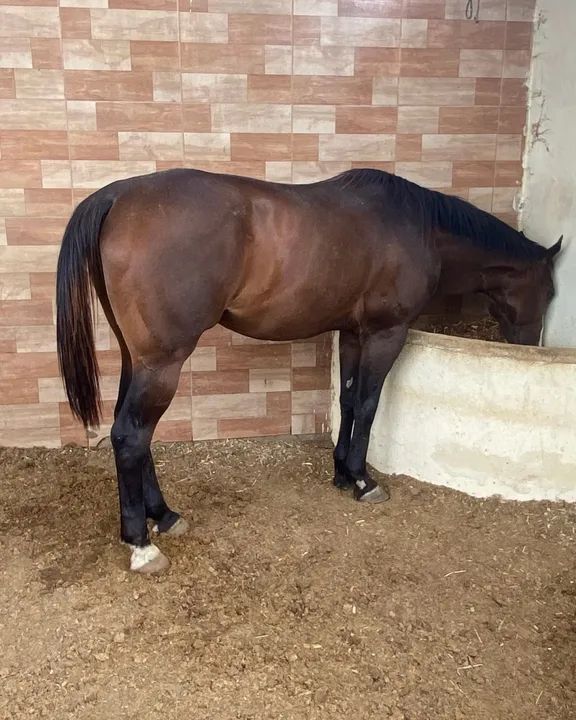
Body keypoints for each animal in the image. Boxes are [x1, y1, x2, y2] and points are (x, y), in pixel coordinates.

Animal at [56, 167, 561, 574]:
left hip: (138, 358)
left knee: (133, 435)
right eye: (551, 289)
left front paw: (341, 473)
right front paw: (363, 480)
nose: (531, 344)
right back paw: (141, 544)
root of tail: (118, 195)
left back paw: (164, 516)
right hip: (163, 363)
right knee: (131, 435)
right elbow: (369, 403)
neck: (419, 227)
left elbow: (349, 399)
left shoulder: (354, 333)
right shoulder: (387, 333)